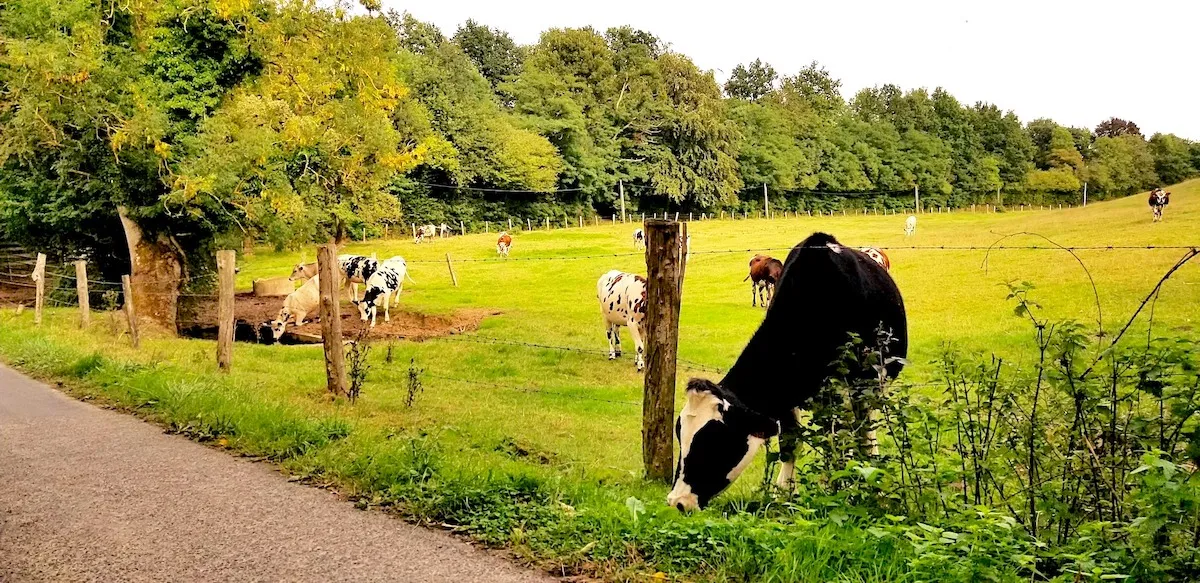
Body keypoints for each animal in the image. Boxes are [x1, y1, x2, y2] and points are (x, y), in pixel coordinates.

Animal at [667, 232, 908, 512]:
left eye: (714, 441)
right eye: (680, 434)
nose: (677, 501)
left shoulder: (846, 389)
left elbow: (835, 442)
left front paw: (833, 490)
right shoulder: (785, 395)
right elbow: (792, 443)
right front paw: (783, 495)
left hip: (871, 388)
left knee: (865, 434)